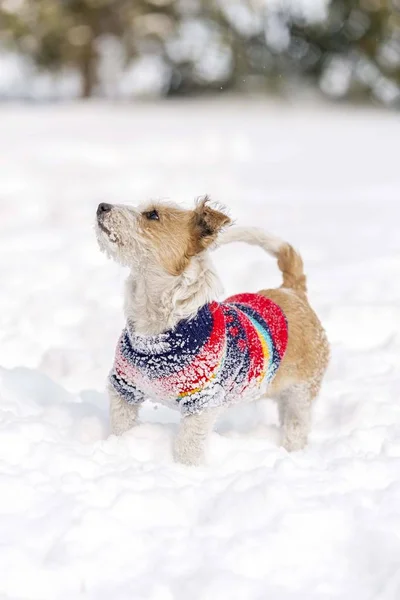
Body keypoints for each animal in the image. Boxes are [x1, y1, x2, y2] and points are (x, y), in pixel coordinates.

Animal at [95, 199, 330, 466]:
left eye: (153, 215)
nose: (102, 206)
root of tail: (292, 291)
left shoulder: (202, 402)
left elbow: (188, 445)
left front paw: (185, 469)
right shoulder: (124, 388)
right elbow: (121, 426)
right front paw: (120, 447)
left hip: (301, 393)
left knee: (297, 426)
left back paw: (292, 451)